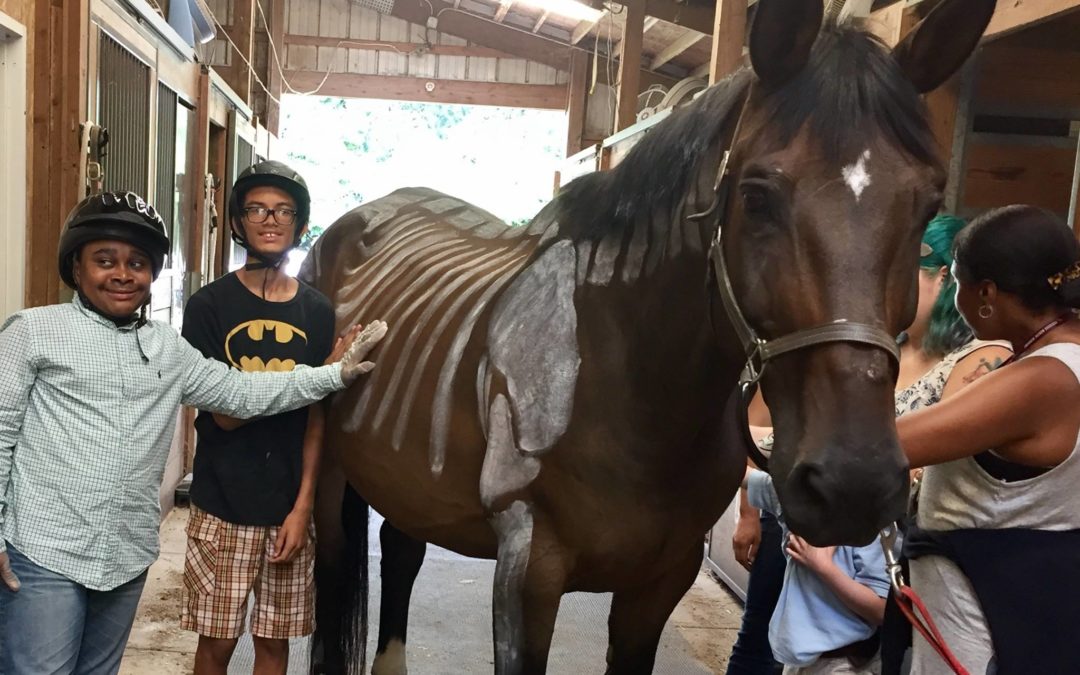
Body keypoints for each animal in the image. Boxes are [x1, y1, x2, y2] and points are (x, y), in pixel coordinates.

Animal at [300, 1, 996, 672]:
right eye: (756, 195)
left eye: (929, 205)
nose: (853, 483)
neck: (628, 386)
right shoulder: (528, 570)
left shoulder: (661, 580)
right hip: (330, 484)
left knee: (400, 554)